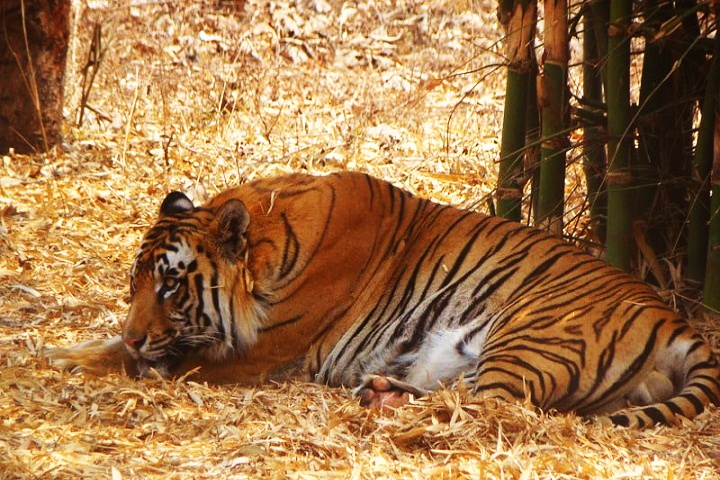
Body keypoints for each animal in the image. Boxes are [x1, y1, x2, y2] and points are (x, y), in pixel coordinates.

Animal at [47, 171, 720, 427]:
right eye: (134, 284)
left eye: (169, 285)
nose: (136, 331)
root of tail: (677, 320)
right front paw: (68, 349)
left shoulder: (257, 351)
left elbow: (151, 360)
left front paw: (66, 358)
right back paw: (380, 392)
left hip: (529, 329)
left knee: (490, 408)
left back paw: (384, 402)